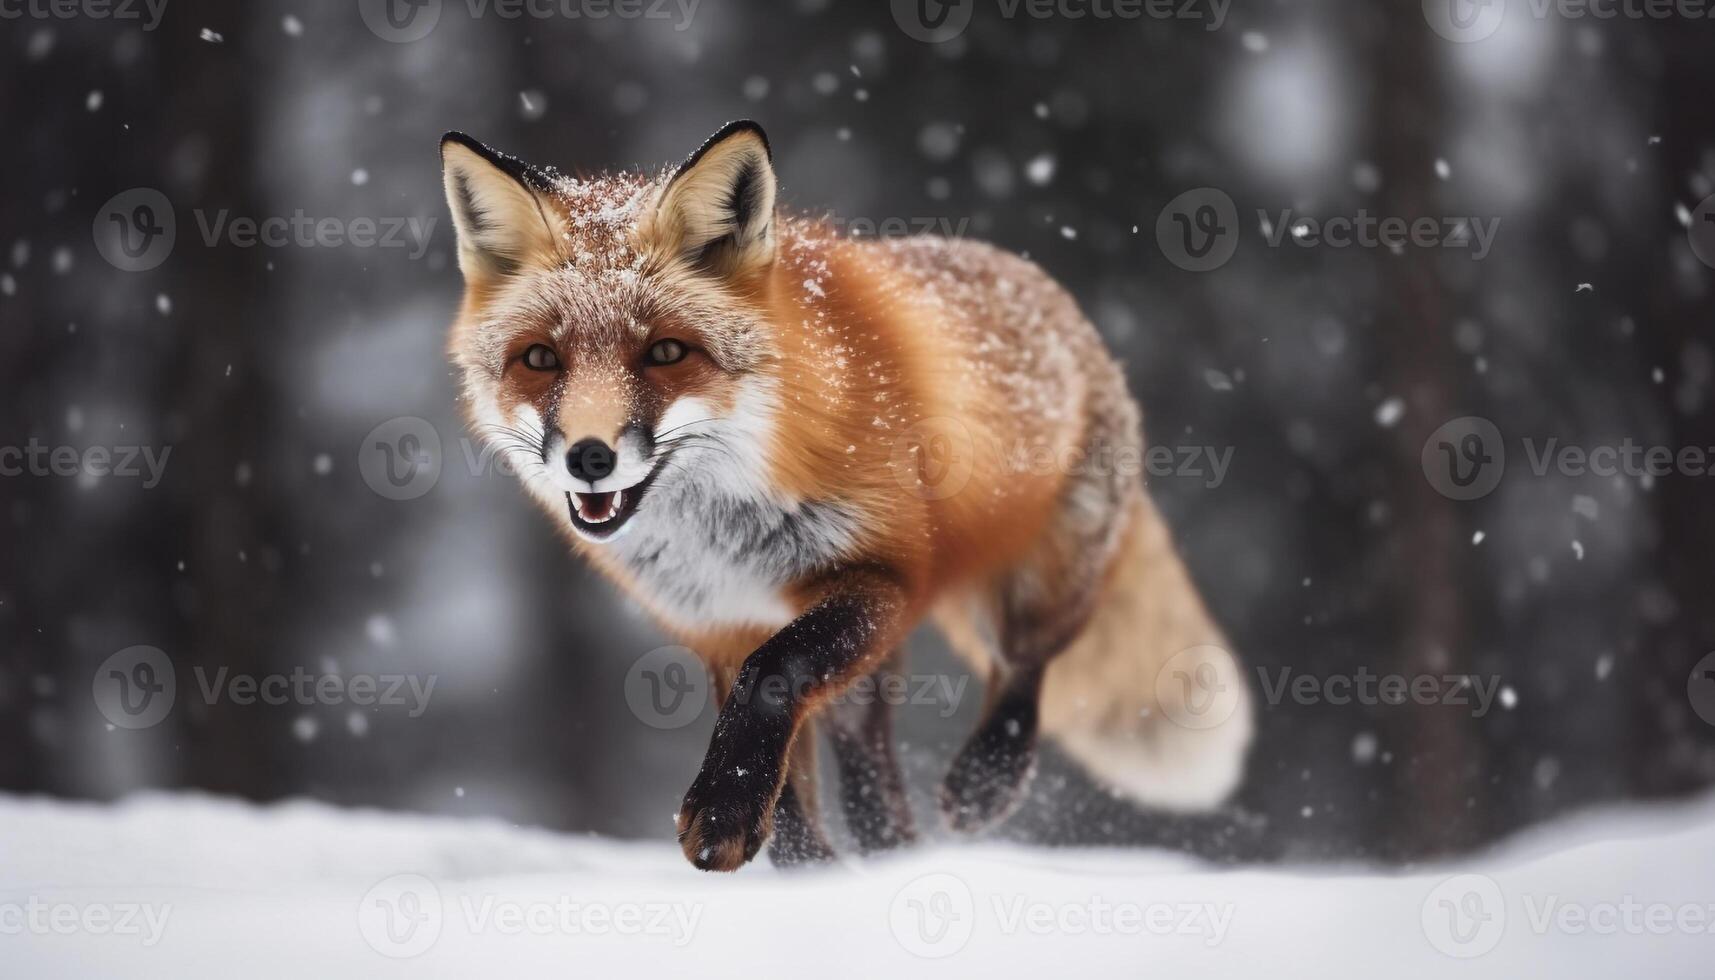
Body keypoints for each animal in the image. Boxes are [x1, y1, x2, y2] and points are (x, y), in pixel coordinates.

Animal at [439, 120, 1248, 875]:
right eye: (540, 359)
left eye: (666, 352)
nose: (589, 457)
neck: (725, 531)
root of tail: (1052, 295)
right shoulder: (721, 622)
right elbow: (788, 782)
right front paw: (798, 865)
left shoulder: (884, 576)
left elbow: (772, 678)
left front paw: (726, 813)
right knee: (875, 777)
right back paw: (887, 858)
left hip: (1039, 571)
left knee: (1026, 663)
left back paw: (987, 780)